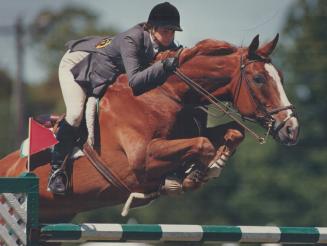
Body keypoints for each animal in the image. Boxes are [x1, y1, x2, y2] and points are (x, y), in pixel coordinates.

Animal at [0, 34, 300, 221]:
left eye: (281, 76)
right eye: (259, 79)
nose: (292, 129)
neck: (166, 93)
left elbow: (231, 133)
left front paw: (206, 167)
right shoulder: (142, 157)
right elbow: (203, 145)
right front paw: (193, 175)